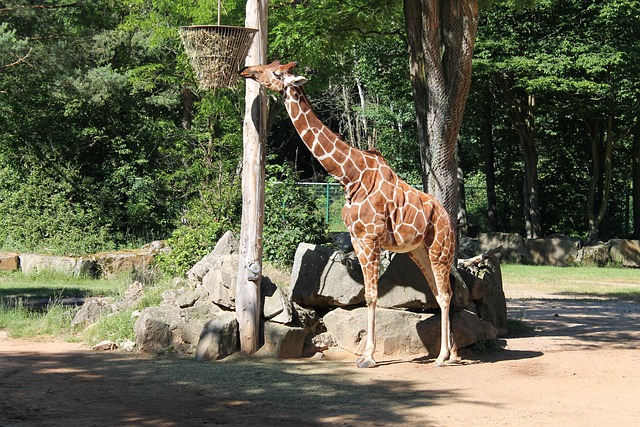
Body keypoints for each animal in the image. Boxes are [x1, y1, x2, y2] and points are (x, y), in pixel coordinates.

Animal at [240, 60, 459, 368]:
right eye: (271, 64)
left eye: (276, 73)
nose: (247, 71)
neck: (349, 176)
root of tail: (445, 216)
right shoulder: (356, 239)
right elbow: (368, 293)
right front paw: (367, 354)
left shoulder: (370, 239)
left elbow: (372, 295)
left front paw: (368, 357)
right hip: (419, 251)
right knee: (441, 293)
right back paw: (448, 354)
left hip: (440, 247)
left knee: (446, 292)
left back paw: (443, 357)